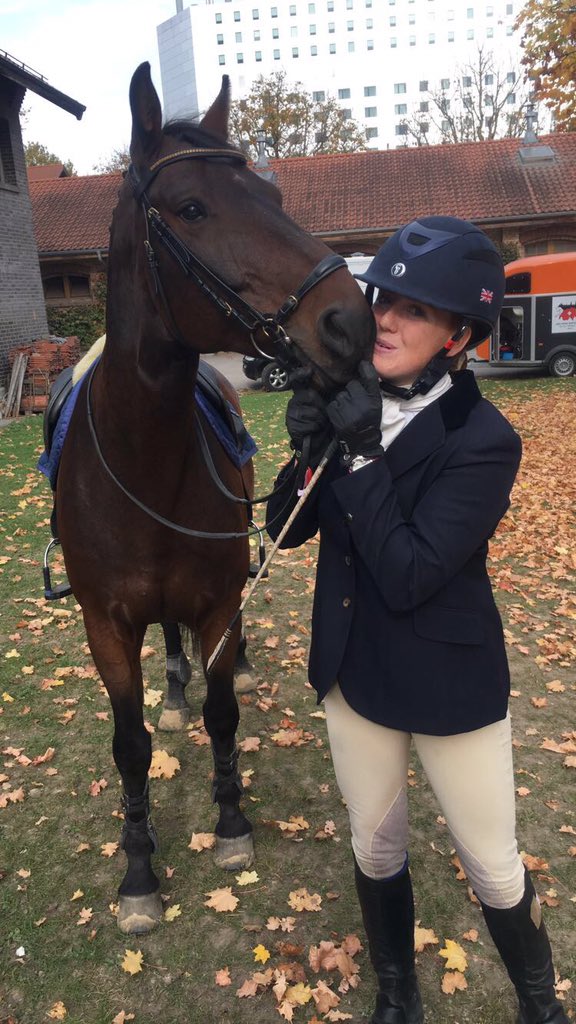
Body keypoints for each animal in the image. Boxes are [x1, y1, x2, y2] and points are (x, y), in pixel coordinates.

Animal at [55, 62, 375, 935]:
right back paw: (170, 687)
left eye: (273, 194)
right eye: (193, 208)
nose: (352, 321)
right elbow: (130, 745)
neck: (145, 461)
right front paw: (138, 871)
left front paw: (231, 823)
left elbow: (224, 714)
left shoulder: (218, 601)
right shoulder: (105, 625)